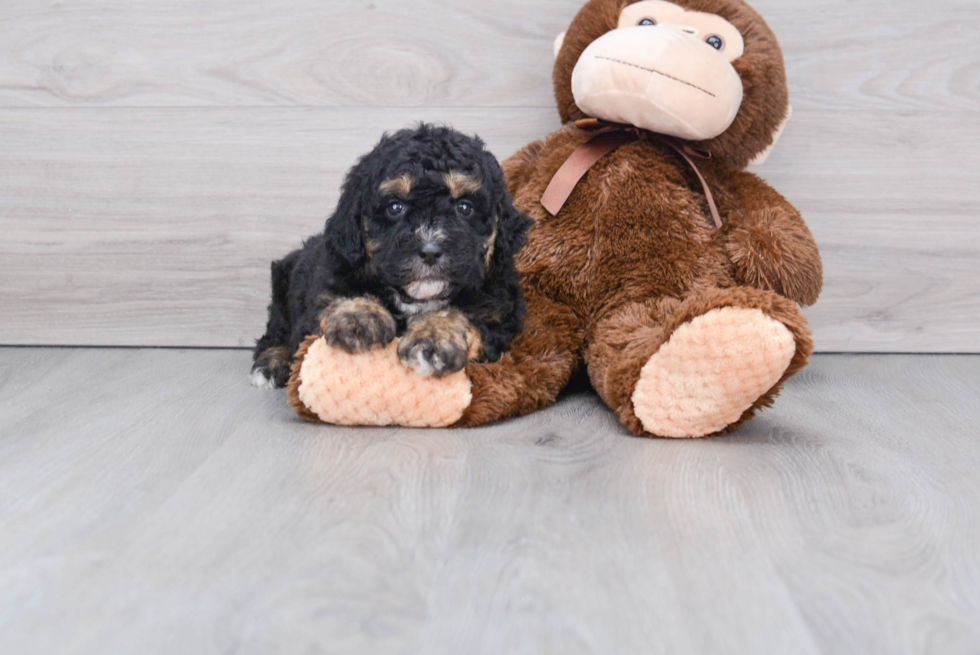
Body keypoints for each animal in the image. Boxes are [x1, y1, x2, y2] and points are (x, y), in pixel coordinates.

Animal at [249, 125, 532, 386]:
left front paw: (435, 336)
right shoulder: (329, 277)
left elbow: (465, 315)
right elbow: (334, 295)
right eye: (395, 207)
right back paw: (271, 363)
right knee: (274, 332)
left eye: (465, 207)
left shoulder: (498, 310)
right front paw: (359, 315)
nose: (430, 251)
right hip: (282, 286)